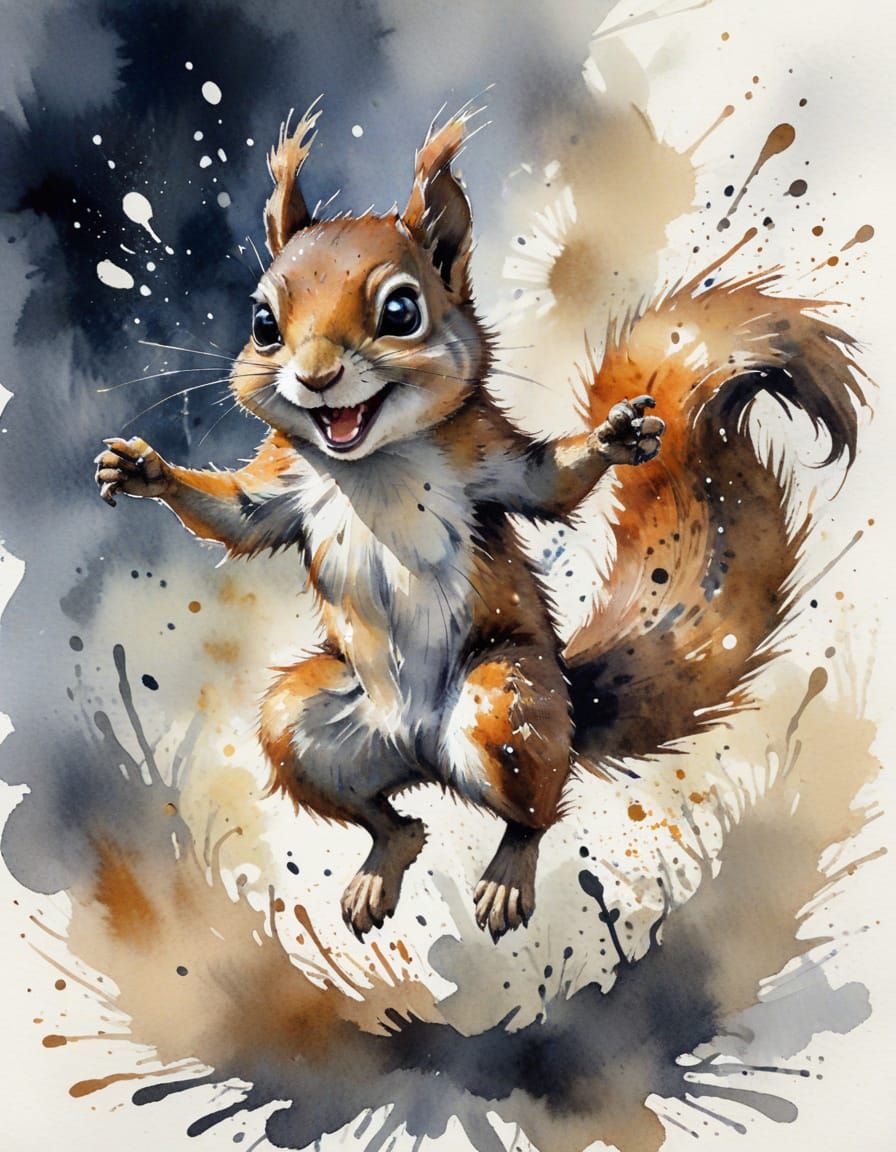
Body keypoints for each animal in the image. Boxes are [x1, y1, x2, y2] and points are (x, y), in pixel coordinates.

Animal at [94, 104, 863, 941]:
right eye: (264, 323)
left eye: (402, 311)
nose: (316, 377)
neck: (372, 461)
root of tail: (425, 753)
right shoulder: (285, 483)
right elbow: (237, 515)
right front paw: (142, 470)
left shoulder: (488, 459)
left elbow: (549, 484)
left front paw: (614, 438)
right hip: (304, 722)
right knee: (391, 817)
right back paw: (382, 863)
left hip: (508, 701)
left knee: (534, 813)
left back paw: (504, 878)